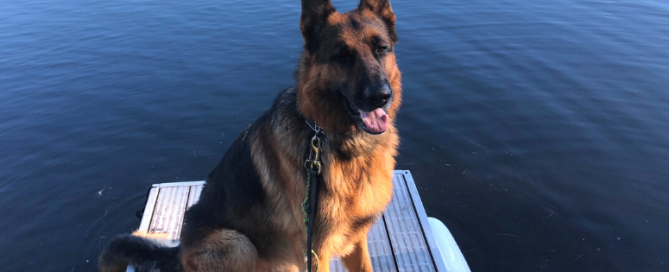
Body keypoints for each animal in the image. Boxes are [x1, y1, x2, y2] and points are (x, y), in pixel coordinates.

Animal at [100, 0, 402, 270]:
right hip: (238, 243)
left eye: (381, 49)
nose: (380, 96)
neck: (332, 138)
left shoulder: (357, 240)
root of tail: (180, 249)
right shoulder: (315, 252)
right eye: (342, 56)